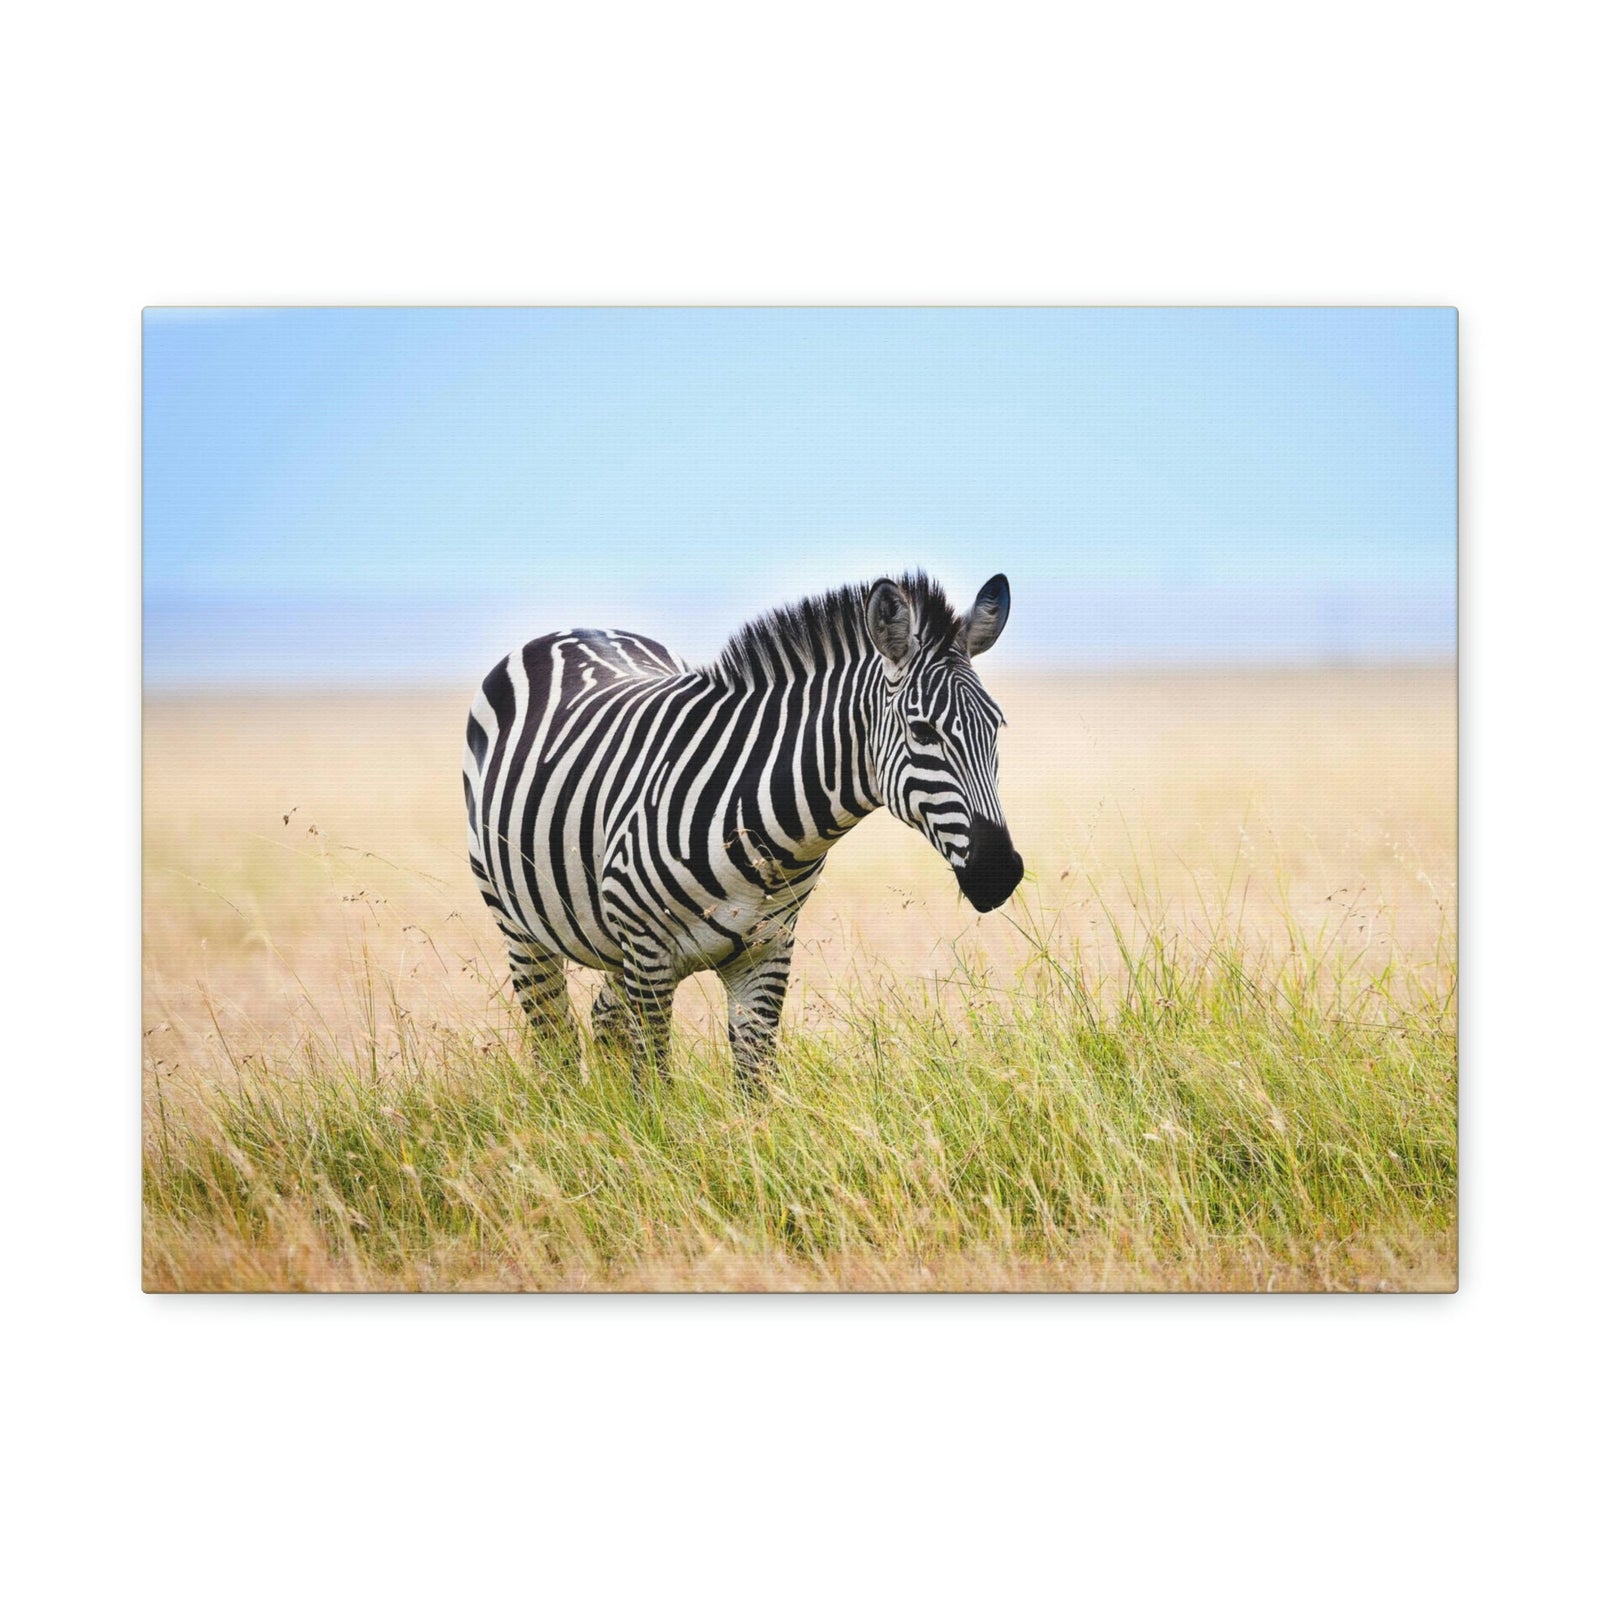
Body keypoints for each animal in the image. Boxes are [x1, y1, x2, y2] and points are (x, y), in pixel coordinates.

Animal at [463, 571, 1024, 1089]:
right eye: (922, 731)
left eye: (997, 727)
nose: (999, 873)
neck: (764, 834)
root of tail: (575, 629)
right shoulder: (648, 953)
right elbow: (656, 1089)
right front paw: (652, 1130)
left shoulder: (767, 952)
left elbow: (755, 1089)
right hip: (521, 925)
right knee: (554, 1040)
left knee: (603, 1020)